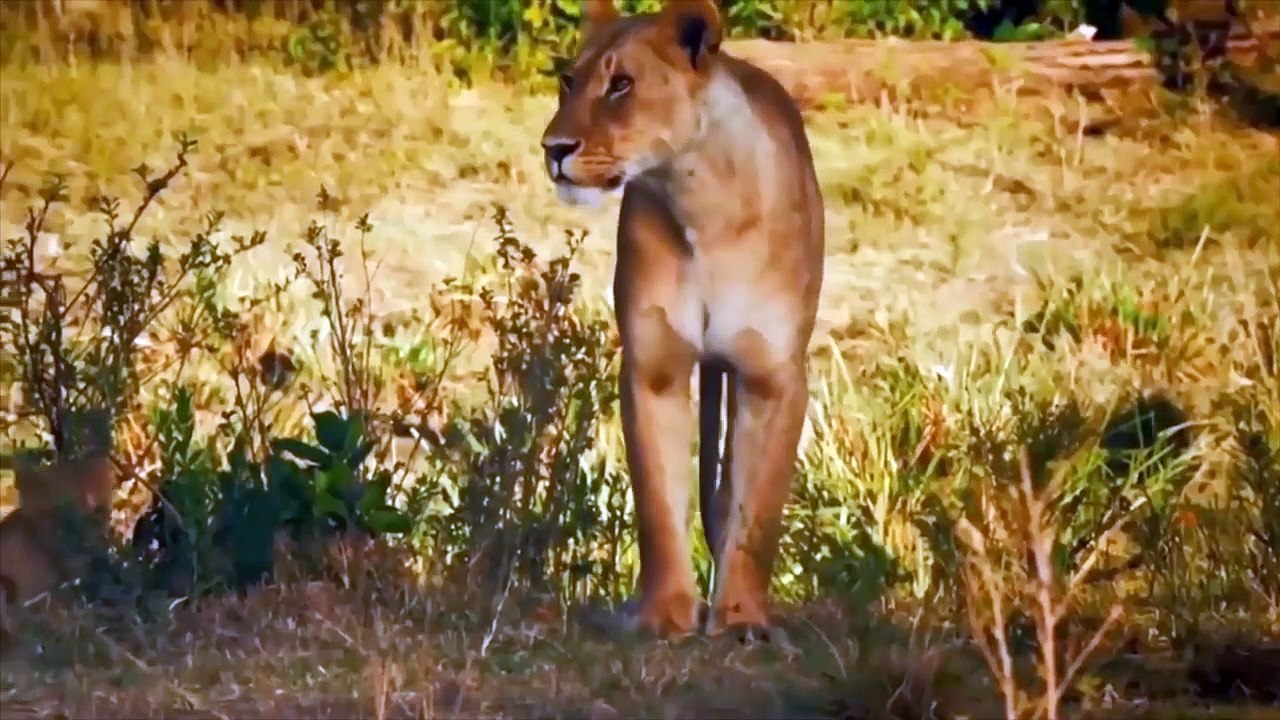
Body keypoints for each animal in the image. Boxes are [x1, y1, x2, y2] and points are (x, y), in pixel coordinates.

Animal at [539, 0, 824, 640]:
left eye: (621, 84)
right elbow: (659, 503)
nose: (554, 148)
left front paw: (741, 619)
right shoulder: (654, 366)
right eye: (569, 81)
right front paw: (664, 615)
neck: (700, 200)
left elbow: (756, 513)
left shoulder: (772, 376)